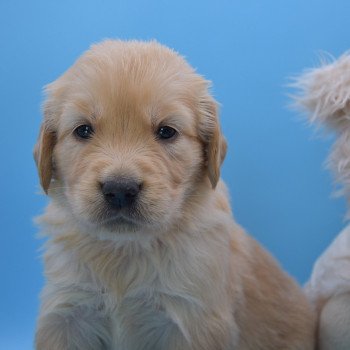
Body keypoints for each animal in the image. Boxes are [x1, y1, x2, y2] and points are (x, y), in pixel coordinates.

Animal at [34, 39, 316, 348]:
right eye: (83, 130)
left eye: (166, 131)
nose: (119, 189)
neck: (126, 250)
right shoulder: (67, 315)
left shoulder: (193, 321)